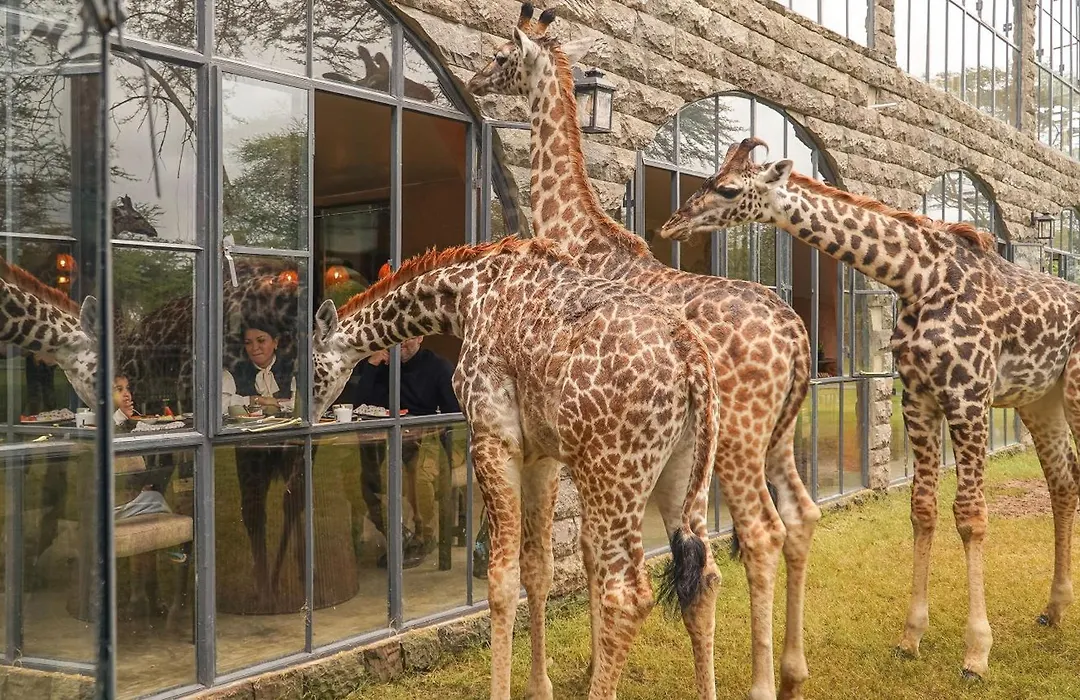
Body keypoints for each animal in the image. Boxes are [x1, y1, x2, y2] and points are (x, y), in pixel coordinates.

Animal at [312, 236, 722, 700]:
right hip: (683, 472)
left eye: (309, 364)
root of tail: (692, 360)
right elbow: (539, 570)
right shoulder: (541, 456)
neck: (464, 298)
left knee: (628, 596)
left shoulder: (494, 439)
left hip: (614, 473)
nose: (305, 414)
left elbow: (501, 581)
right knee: (704, 578)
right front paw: (539, 686)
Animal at [466, 6, 820, 699]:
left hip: (736, 440)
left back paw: (764, 683)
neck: (577, 234)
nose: (472, 77)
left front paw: (586, 670)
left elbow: (587, 556)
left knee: (762, 534)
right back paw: (794, 672)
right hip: (779, 435)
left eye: (501, 55)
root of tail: (795, 333)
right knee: (800, 518)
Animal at [659, 136, 1080, 679]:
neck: (917, 279)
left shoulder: (969, 397)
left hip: (1071, 390)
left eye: (728, 188)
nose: (671, 223)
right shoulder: (918, 398)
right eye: (708, 179)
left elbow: (971, 516)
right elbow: (923, 509)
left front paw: (976, 653)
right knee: (1063, 479)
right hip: (1041, 398)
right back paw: (1054, 609)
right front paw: (911, 636)